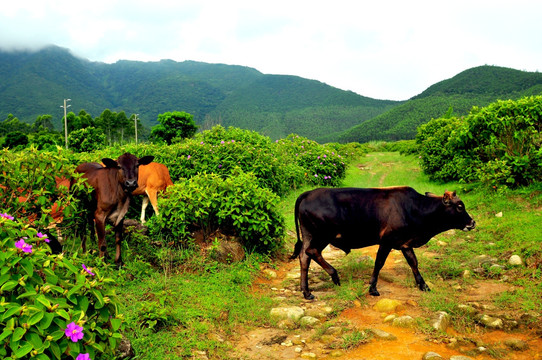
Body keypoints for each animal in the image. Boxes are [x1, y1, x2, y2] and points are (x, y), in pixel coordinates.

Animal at [294, 187, 476, 300]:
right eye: (460, 206)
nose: (472, 222)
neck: (414, 208)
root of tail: (308, 193)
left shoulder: (405, 243)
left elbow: (413, 262)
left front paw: (423, 285)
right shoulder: (387, 241)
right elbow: (379, 263)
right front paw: (373, 288)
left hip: (309, 234)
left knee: (304, 257)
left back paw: (307, 292)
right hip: (322, 235)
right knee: (311, 252)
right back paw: (334, 275)